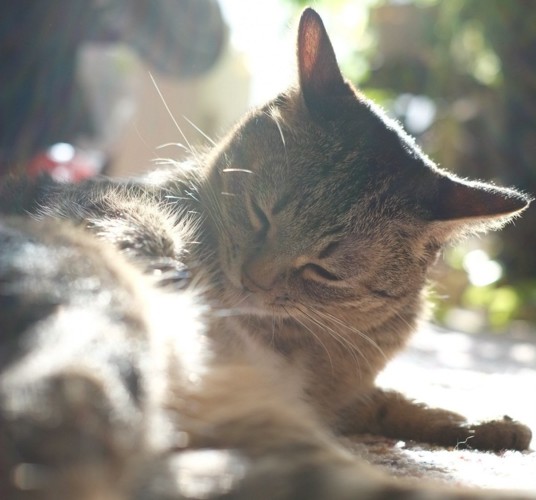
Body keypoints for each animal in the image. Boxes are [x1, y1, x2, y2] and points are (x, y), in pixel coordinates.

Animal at [0, 7, 532, 500]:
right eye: (260, 213)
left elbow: (396, 402)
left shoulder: (332, 400)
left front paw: (489, 426)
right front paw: (165, 257)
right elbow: (137, 221)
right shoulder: (97, 200)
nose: (250, 279)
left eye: (324, 271)